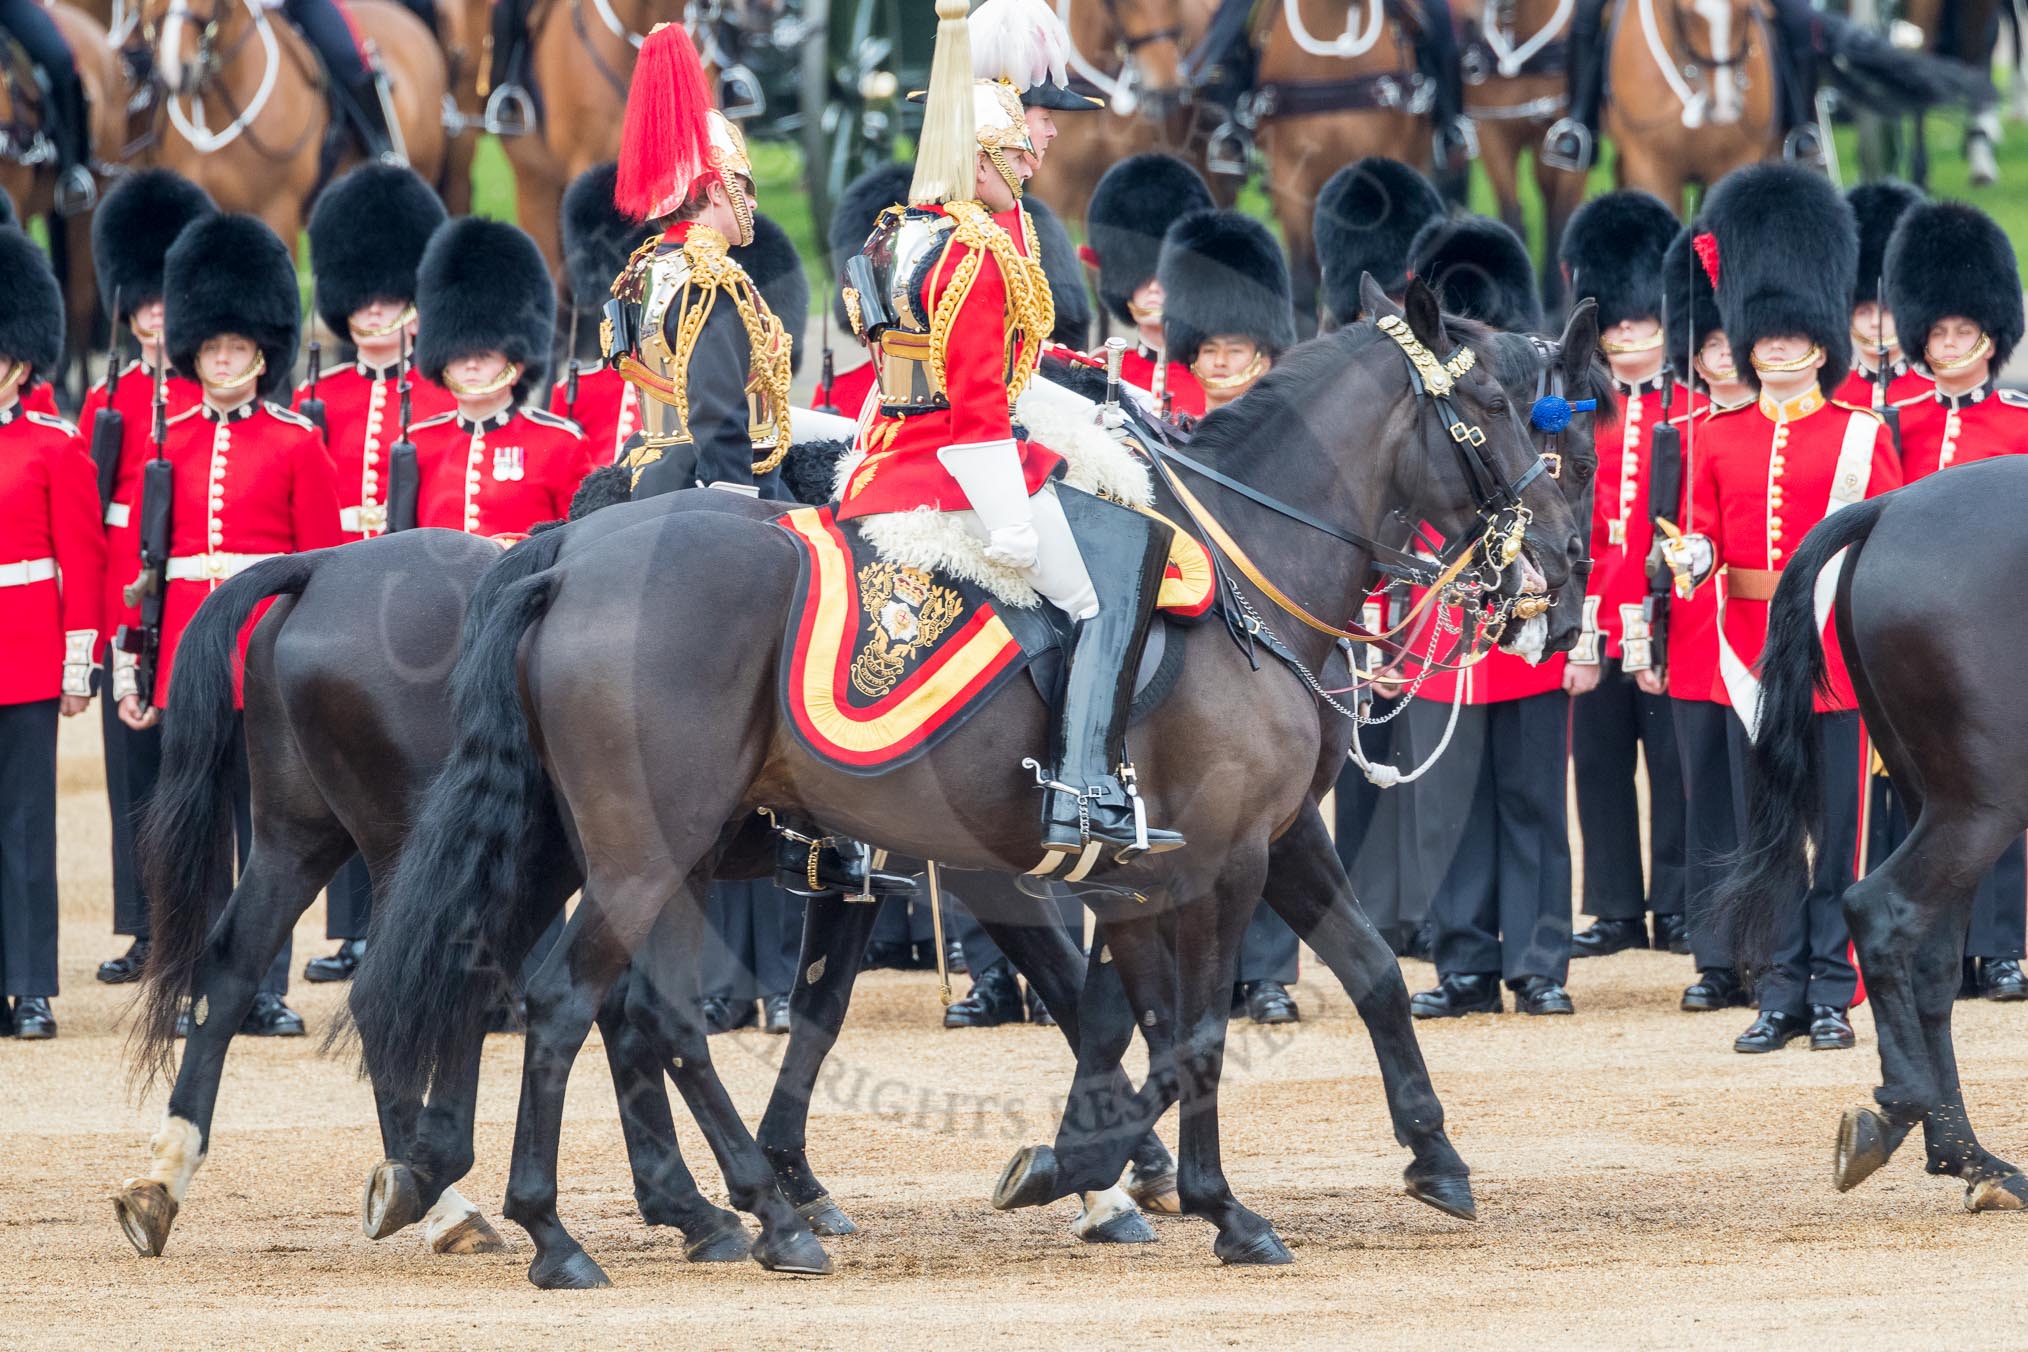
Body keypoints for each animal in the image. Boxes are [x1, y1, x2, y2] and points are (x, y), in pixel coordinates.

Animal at [347, 276, 1587, 1281]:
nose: (1563, 574)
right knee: (571, 1001)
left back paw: (620, 1198)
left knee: (548, 992)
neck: (1243, 565)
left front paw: (1427, 1152)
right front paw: (1178, 1191)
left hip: (604, 846)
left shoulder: (1229, 845)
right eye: (1492, 403)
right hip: (645, 851)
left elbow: (1344, 977)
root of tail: (570, 555)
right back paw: (565, 1227)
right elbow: (1179, 1030)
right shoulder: (1206, 854)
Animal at [1716, 459, 2028, 1216]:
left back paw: (1969, 1156)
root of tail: (1890, 508)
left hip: (1939, 801)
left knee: (1933, 962)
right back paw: (1904, 1112)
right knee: (1879, 910)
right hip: (1985, 802)